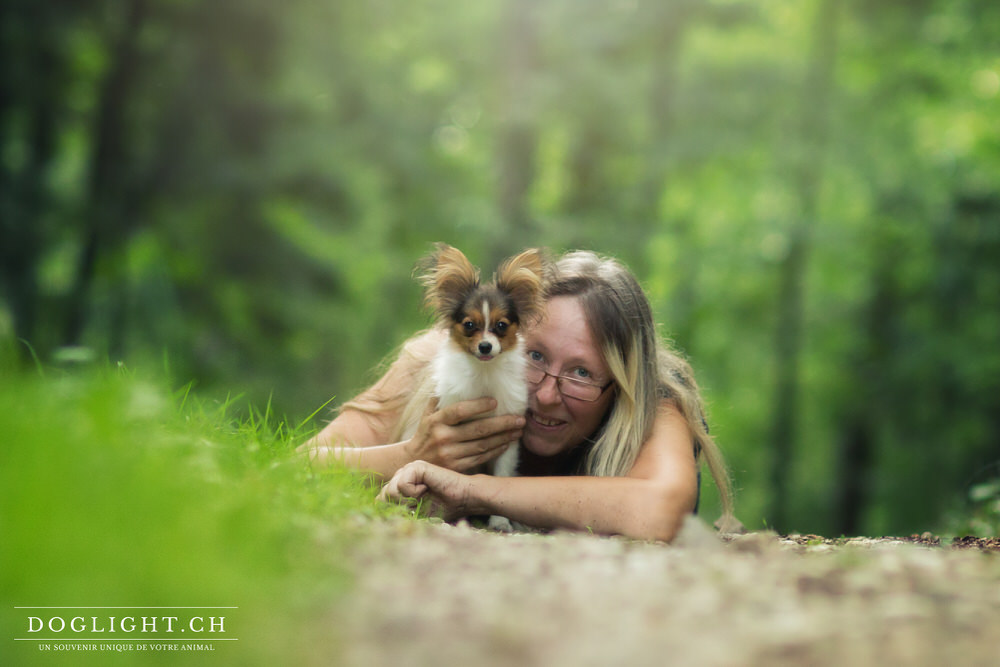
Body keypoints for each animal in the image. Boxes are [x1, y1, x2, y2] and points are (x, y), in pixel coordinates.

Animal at [418, 245, 552, 532]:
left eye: (501, 326)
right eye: (469, 325)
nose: (485, 346)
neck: (484, 373)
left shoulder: (508, 438)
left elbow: (501, 477)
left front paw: (499, 521)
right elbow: (452, 473)